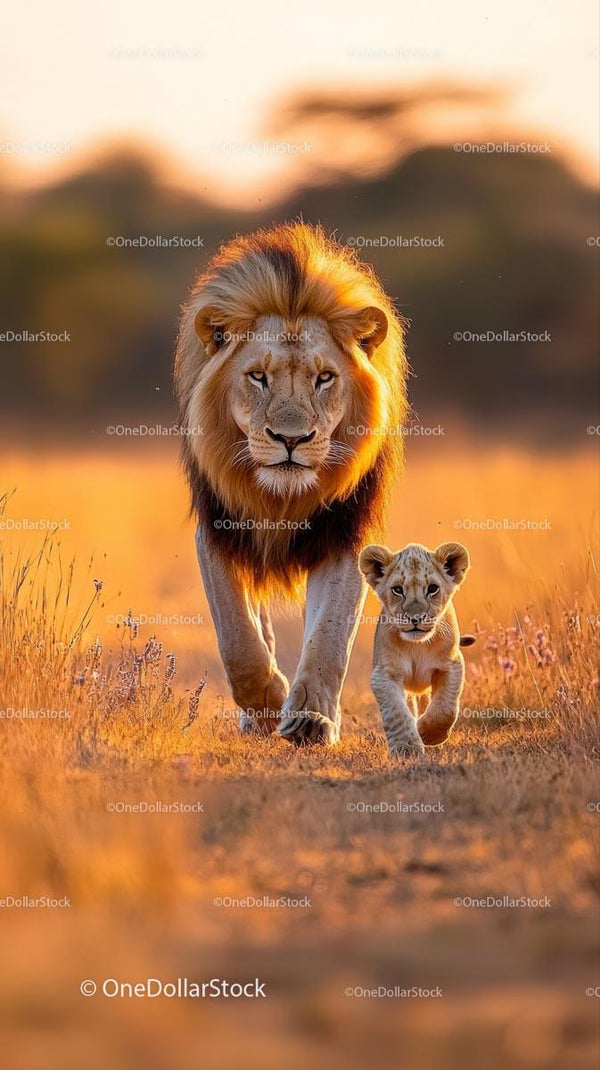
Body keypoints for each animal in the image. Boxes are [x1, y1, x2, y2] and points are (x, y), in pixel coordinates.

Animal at [174, 222, 408, 745]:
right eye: (258, 376)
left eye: (325, 378)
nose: (291, 439)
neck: (282, 498)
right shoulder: (217, 530)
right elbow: (237, 637)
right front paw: (265, 702)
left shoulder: (347, 533)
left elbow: (329, 638)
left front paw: (310, 718)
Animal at [359, 541, 473, 757]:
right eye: (397, 590)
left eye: (432, 589)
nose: (415, 618)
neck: (417, 645)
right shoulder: (384, 674)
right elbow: (397, 712)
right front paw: (407, 748)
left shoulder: (452, 665)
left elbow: (445, 708)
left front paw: (428, 734)